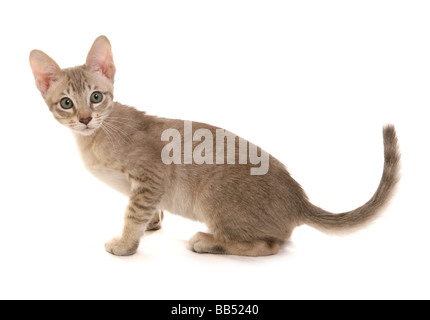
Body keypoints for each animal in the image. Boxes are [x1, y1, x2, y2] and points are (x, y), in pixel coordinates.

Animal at [29, 35, 400, 256]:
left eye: (96, 97)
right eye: (66, 103)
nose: (85, 119)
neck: (95, 138)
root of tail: (299, 200)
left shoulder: (151, 177)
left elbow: (132, 212)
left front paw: (125, 243)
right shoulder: (147, 189)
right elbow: (147, 210)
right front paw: (152, 225)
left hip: (214, 195)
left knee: (271, 244)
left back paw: (208, 241)